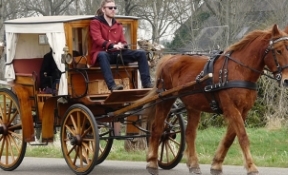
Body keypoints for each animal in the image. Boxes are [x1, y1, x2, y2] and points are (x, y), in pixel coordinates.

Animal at [144, 24, 288, 175]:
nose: (286, 80)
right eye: (278, 51)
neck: (239, 70)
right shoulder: (231, 108)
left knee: (189, 133)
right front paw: (251, 166)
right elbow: (242, 136)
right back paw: (152, 162)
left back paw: (193, 164)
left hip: (193, 106)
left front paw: (217, 164)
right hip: (165, 100)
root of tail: (169, 58)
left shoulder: (243, 111)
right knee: (157, 128)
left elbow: (230, 137)